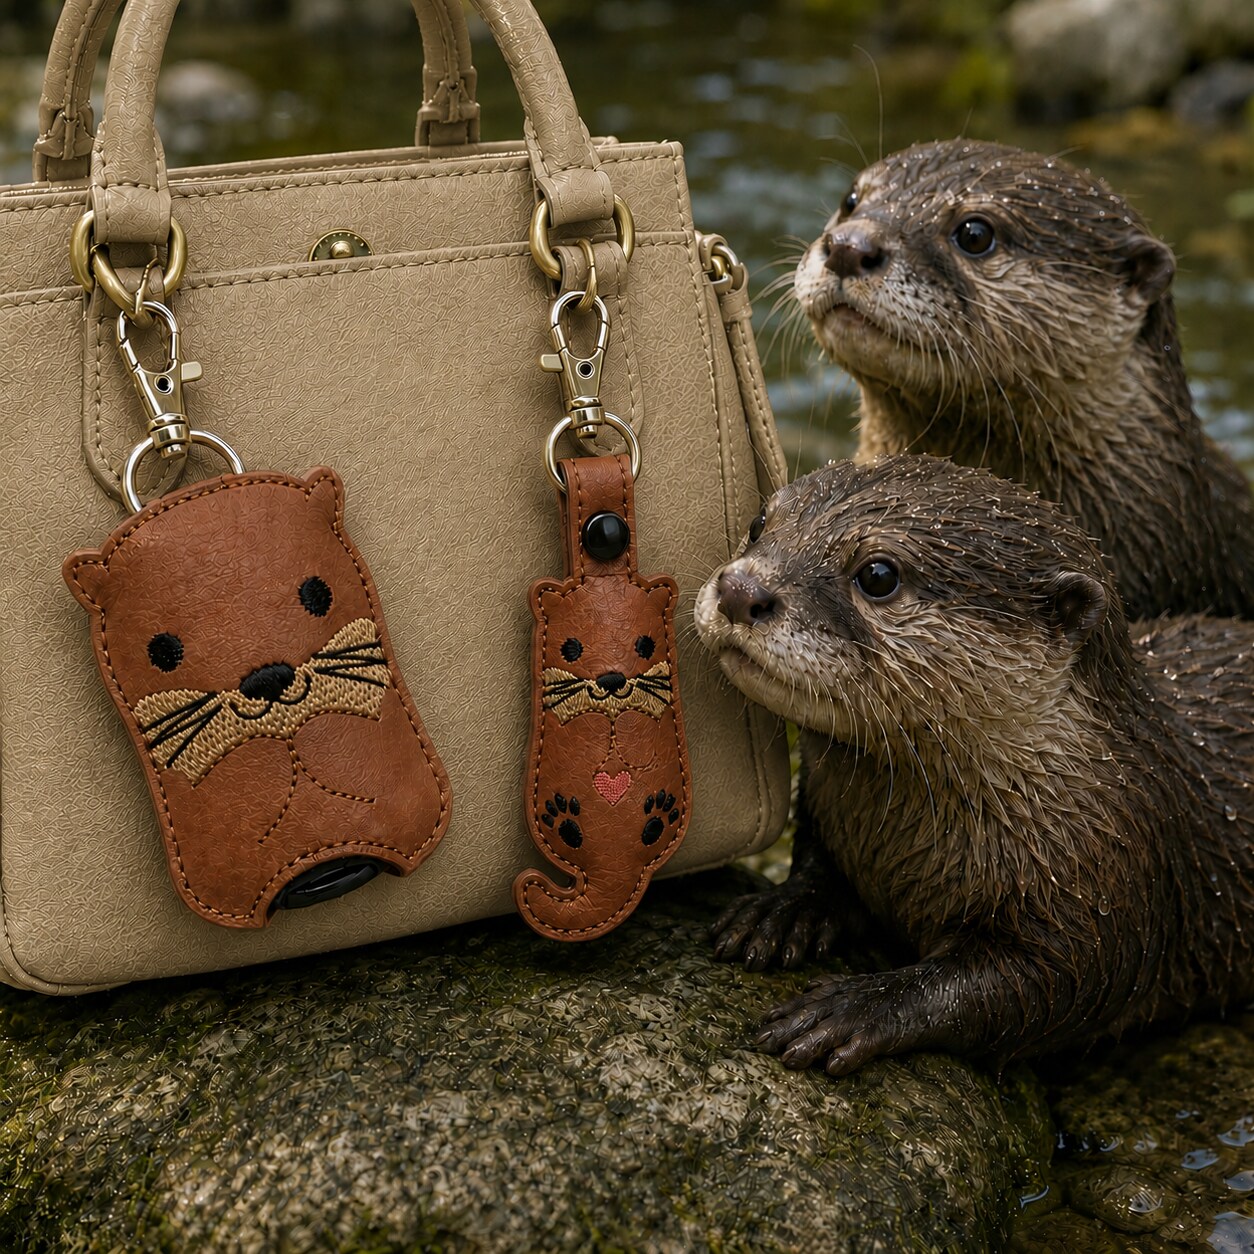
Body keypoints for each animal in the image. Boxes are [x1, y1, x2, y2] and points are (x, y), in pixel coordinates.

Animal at [696, 454, 1254, 1074]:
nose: (741, 589)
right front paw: (786, 908)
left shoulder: (1111, 889)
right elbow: (820, 860)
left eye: (878, 575)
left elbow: (1045, 988)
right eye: (758, 524)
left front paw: (855, 1005)